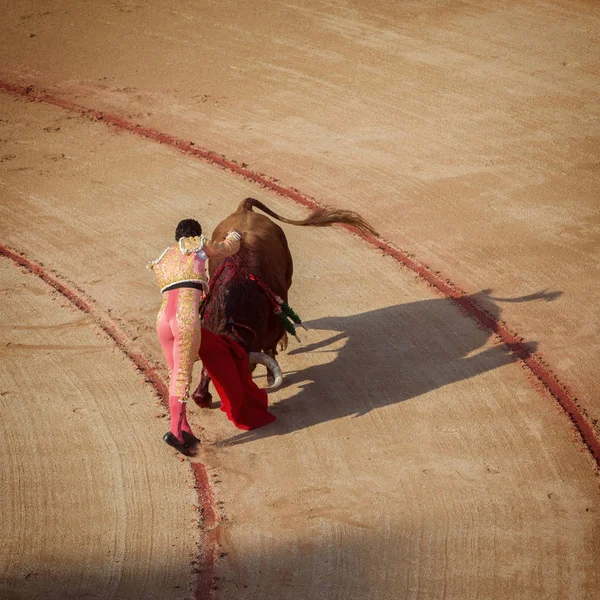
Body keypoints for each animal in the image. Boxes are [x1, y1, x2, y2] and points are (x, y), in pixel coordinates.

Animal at [192, 198, 378, 408]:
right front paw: (202, 396)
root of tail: (245, 209)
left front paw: (270, 376)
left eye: (247, 371)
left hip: (288, 276)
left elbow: (270, 348)